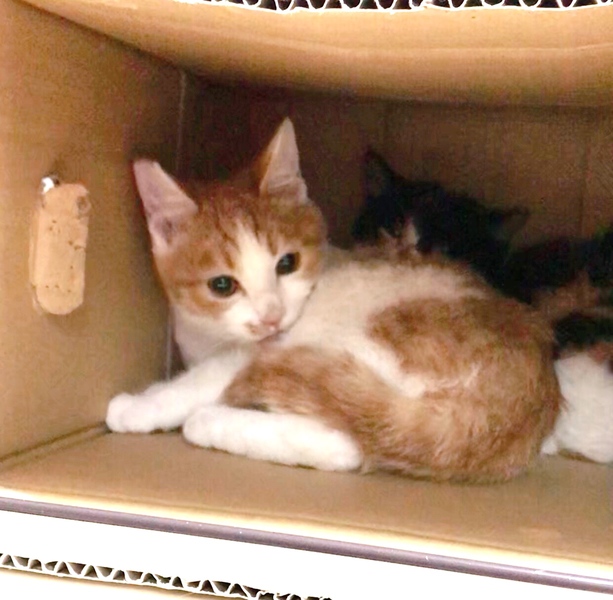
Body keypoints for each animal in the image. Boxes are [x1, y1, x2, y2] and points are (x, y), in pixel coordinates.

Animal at [107, 119, 562, 483]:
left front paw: (139, 407)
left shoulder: (257, 352)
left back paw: (212, 421)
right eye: (222, 285)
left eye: (287, 263)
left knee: (345, 446)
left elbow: (201, 380)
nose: (272, 317)